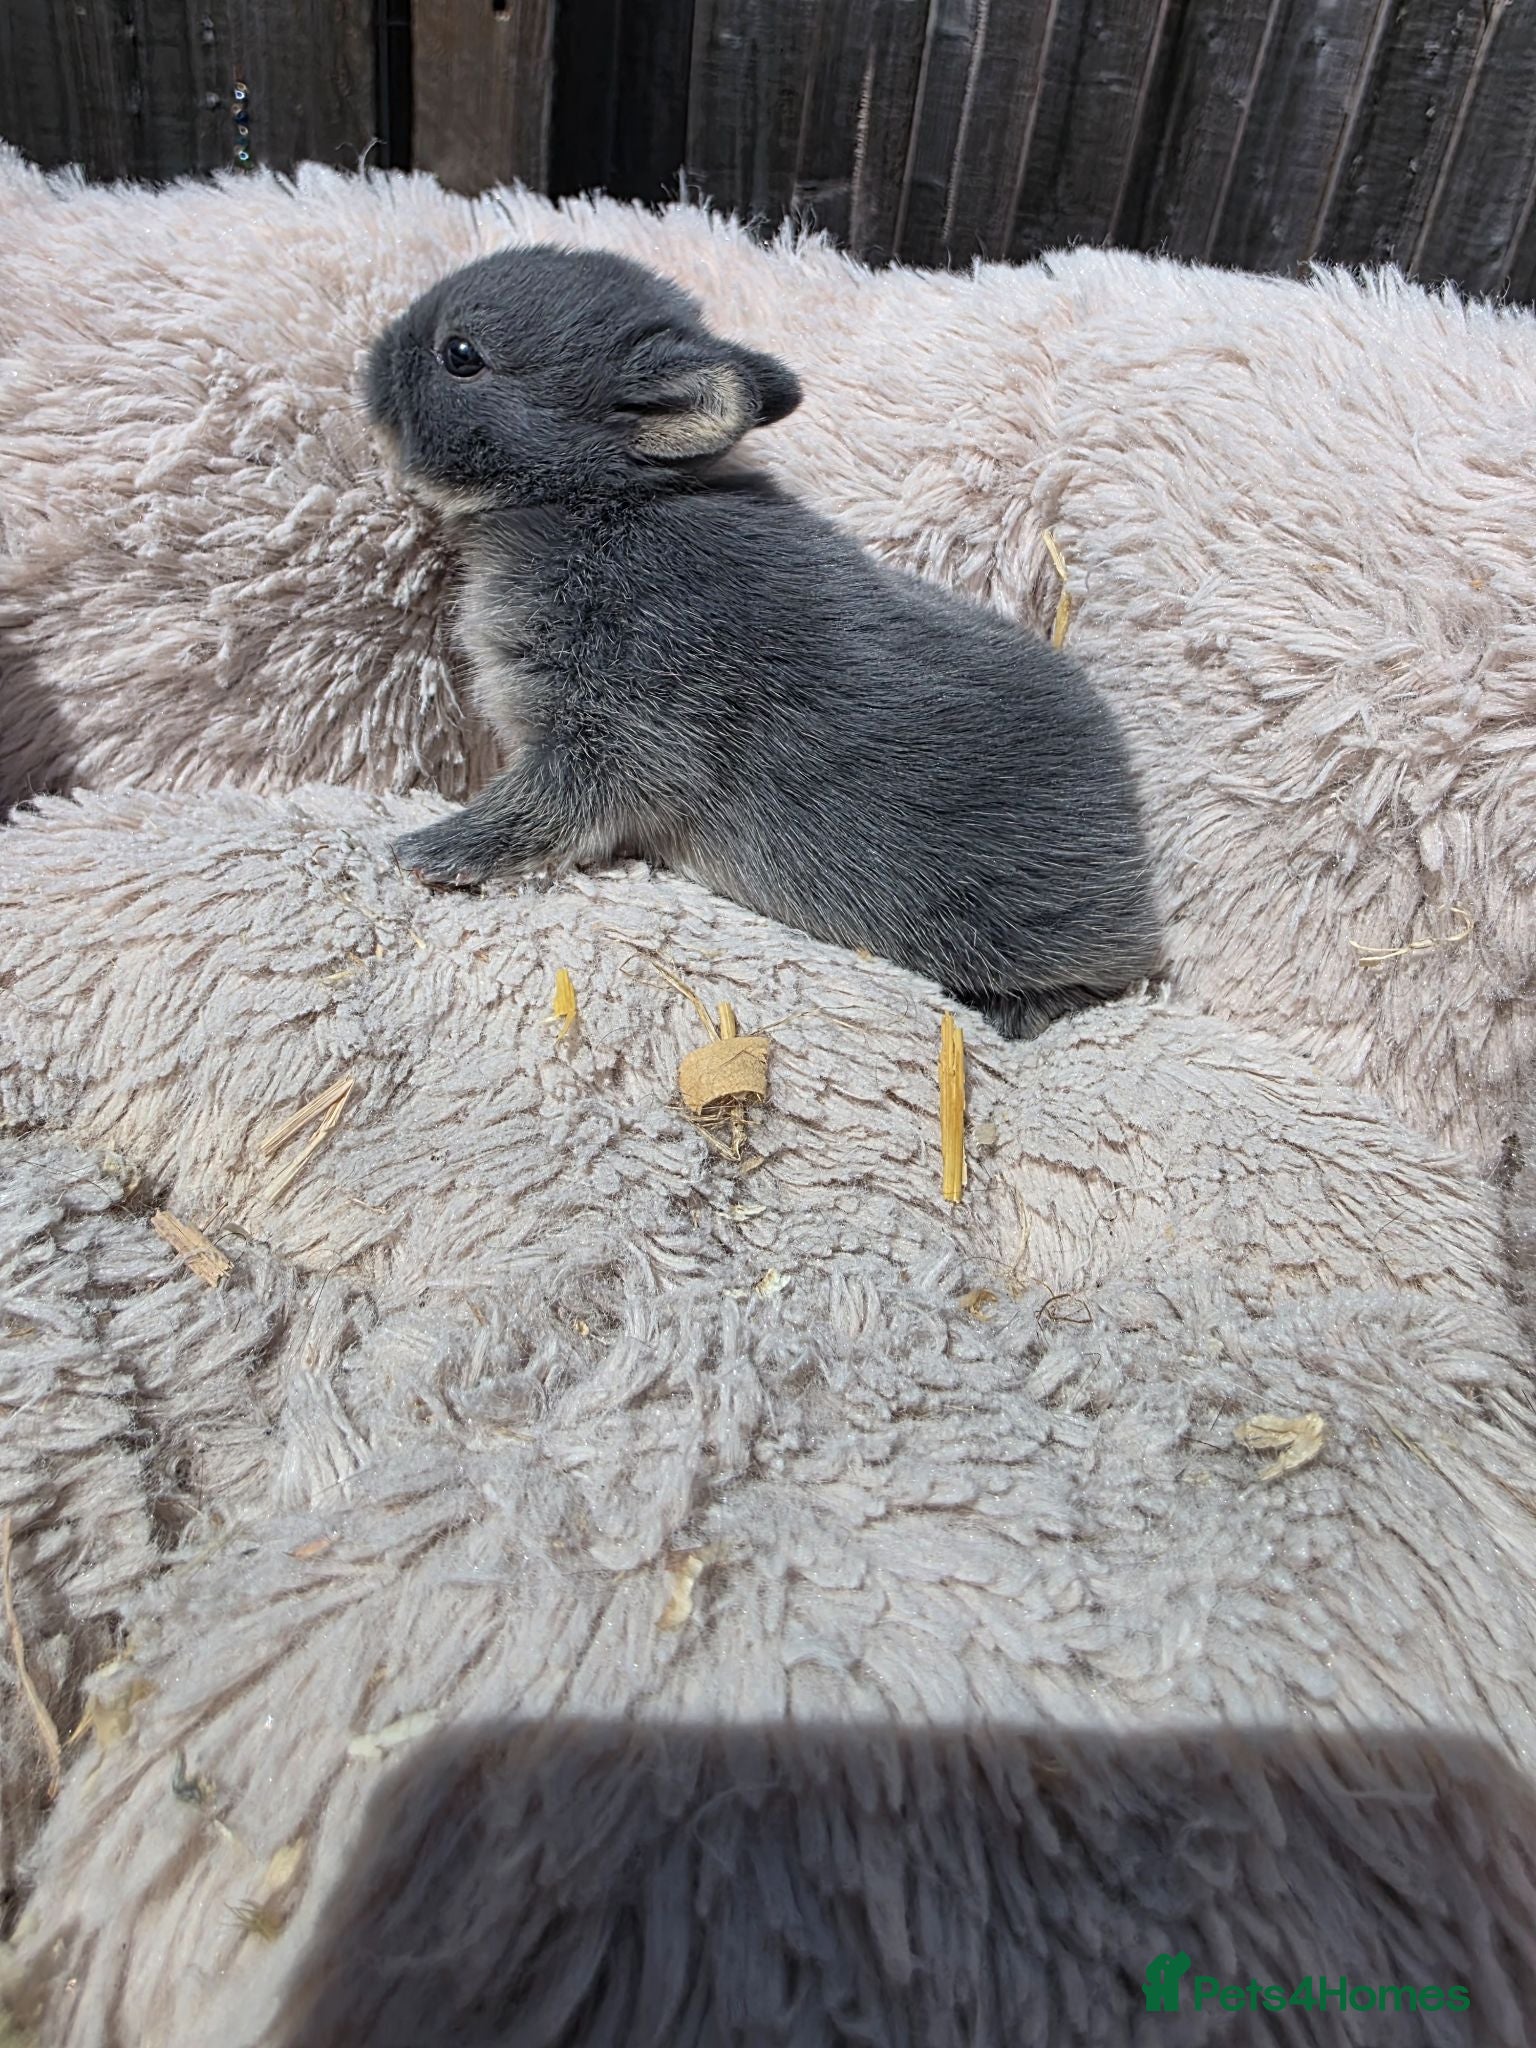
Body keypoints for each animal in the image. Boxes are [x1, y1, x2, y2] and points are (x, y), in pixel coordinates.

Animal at [365, 247, 1161, 1037]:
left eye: (460, 355)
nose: (372, 355)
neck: (598, 498)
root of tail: (1136, 885)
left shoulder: (615, 732)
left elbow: (540, 810)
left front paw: (432, 853)